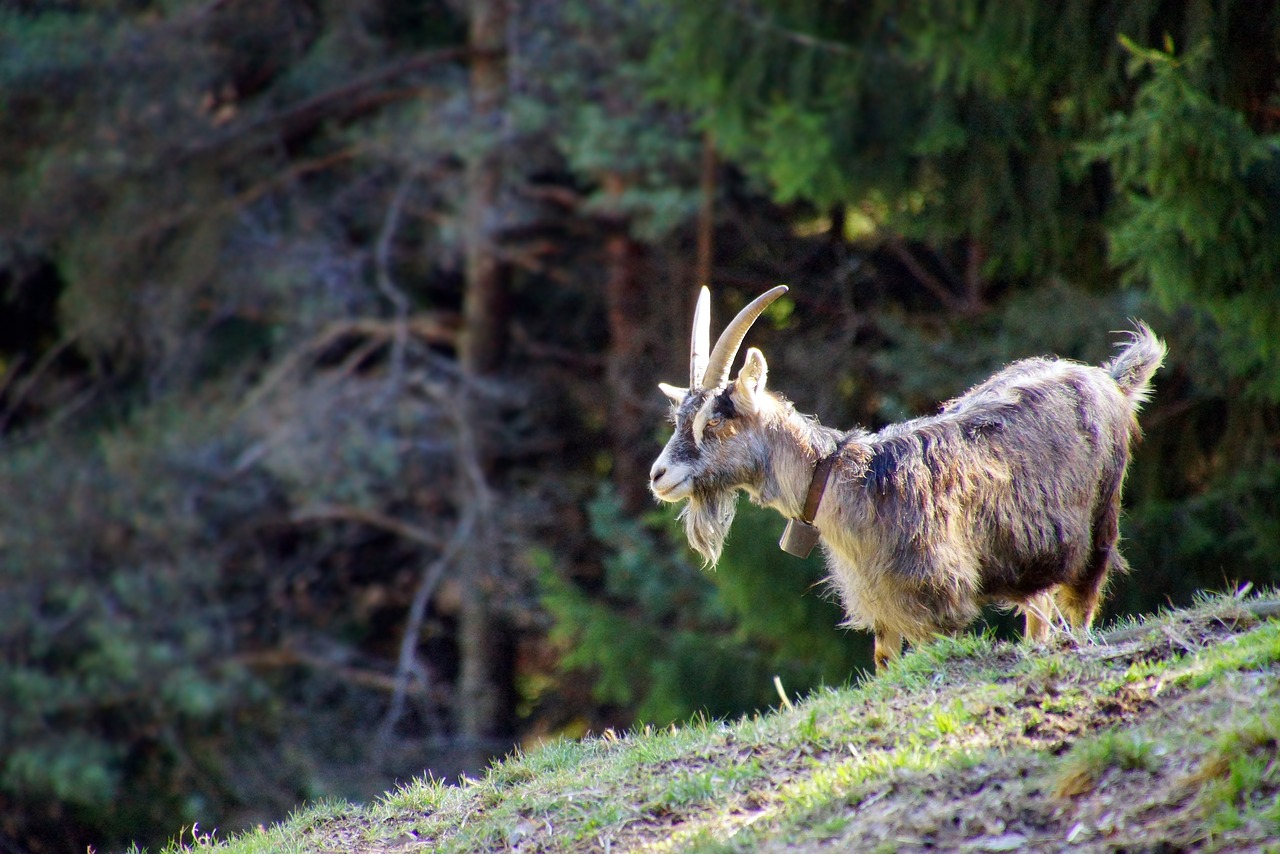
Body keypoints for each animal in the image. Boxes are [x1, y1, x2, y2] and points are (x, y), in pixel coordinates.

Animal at [655, 286, 1167, 676]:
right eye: (679, 418)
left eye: (716, 420)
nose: (658, 475)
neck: (850, 480)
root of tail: (1108, 380)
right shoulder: (884, 609)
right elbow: (885, 665)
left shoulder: (936, 602)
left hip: (1098, 525)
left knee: (1082, 602)